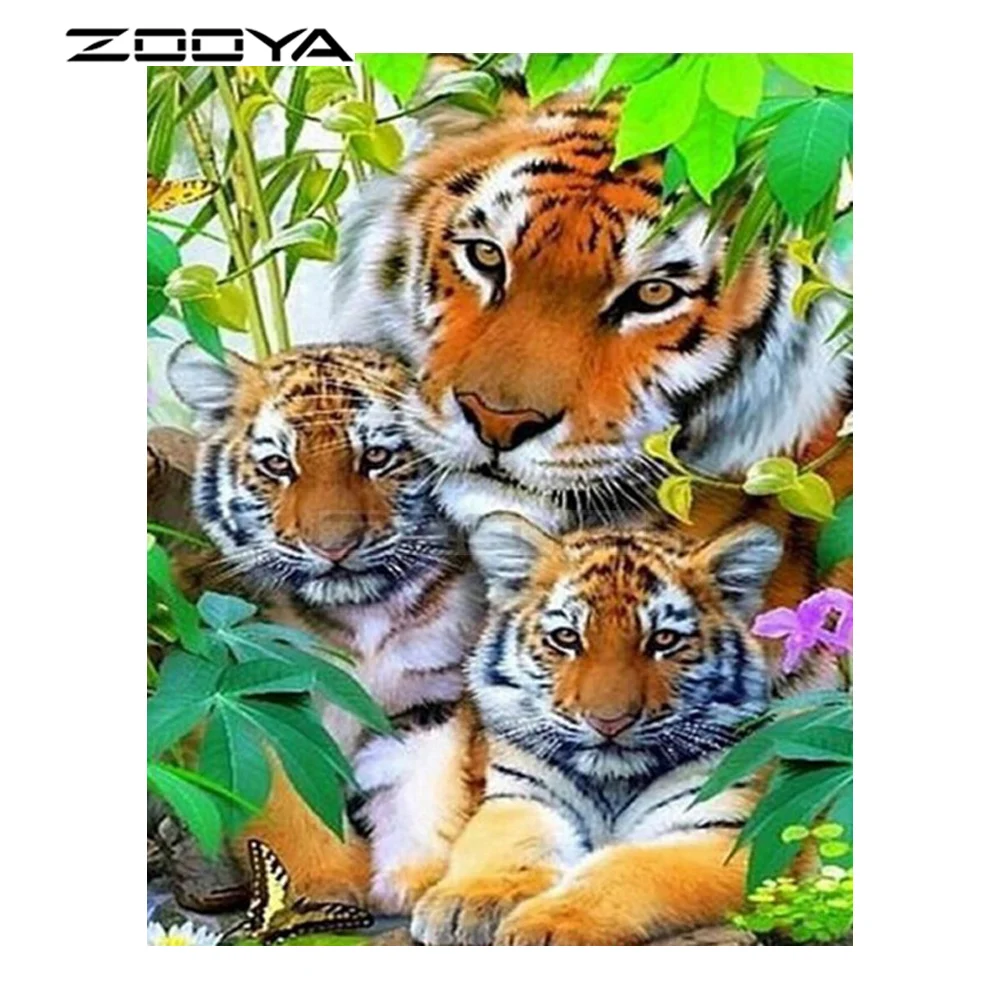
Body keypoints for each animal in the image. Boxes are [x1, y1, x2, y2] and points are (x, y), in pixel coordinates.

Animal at [166, 341, 487, 913]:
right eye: (278, 465)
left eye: (377, 458)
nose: (334, 546)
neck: (359, 614)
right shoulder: (259, 699)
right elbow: (291, 800)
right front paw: (325, 886)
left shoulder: (429, 698)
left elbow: (418, 784)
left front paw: (414, 879)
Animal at [411, 511, 783, 945]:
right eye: (566, 637)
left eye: (664, 640)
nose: (609, 720)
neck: (611, 781)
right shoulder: (523, 797)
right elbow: (510, 843)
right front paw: (467, 903)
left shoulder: (727, 835)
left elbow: (626, 868)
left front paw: (548, 925)